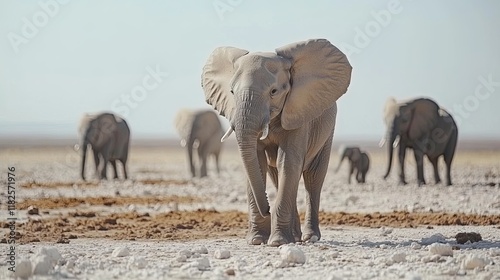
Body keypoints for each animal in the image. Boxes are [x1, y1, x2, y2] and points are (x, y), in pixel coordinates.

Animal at [199, 38, 352, 245]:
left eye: (274, 91)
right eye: (231, 91)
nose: (267, 210)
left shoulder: (298, 111)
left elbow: (288, 162)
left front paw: (278, 242)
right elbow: (258, 162)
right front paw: (257, 240)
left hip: (326, 129)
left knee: (313, 178)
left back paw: (309, 237)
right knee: (277, 177)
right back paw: (294, 237)